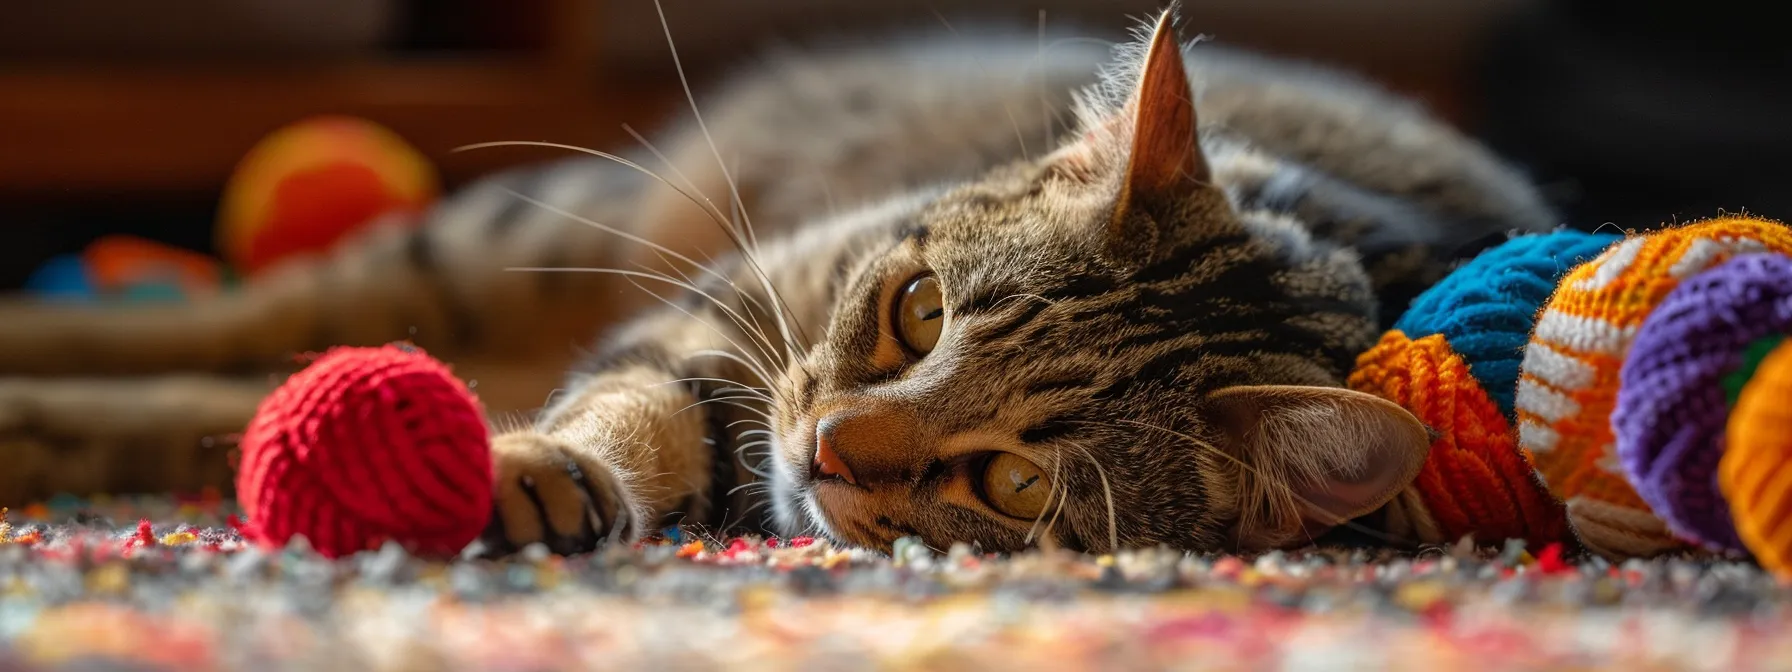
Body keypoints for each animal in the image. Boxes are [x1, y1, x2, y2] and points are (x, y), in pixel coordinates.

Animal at [0, 10, 1555, 555]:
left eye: (1016, 485)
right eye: (918, 312)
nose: (827, 450)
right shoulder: (719, 318)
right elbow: (630, 410)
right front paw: (536, 467)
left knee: (210, 390)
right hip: (496, 241)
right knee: (235, 325)